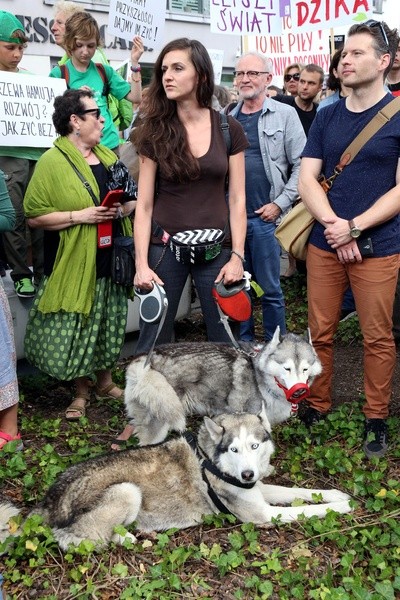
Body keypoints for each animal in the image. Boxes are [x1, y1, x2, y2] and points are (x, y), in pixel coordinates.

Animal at [0, 414, 350, 552]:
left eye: (254, 446)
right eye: (233, 449)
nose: (248, 475)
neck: (212, 462)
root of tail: (48, 501)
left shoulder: (262, 492)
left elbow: (300, 492)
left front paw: (336, 494)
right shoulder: (262, 515)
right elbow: (307, 510)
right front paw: (344, 507)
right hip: (127, 491)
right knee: (83, 538)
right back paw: (131, 537)